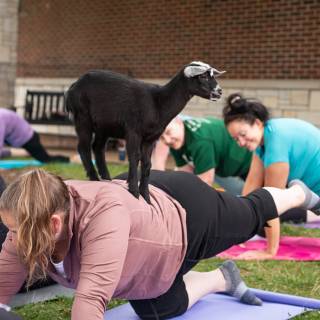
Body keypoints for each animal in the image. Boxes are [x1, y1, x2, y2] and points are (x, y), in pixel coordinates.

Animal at [65, 60, 225, 202]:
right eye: (202, 76)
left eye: (212, 76)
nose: (219, 92)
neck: (158, 102)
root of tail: (73, 86)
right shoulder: (133, 132)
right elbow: (134, 158)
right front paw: (134, 192)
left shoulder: (151, 138)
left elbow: (147, 164)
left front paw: (146, 197)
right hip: (83, 117)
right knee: (84, 147)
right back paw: (94, 178)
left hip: (103, 127)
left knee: (98, 147)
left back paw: (106, 178)